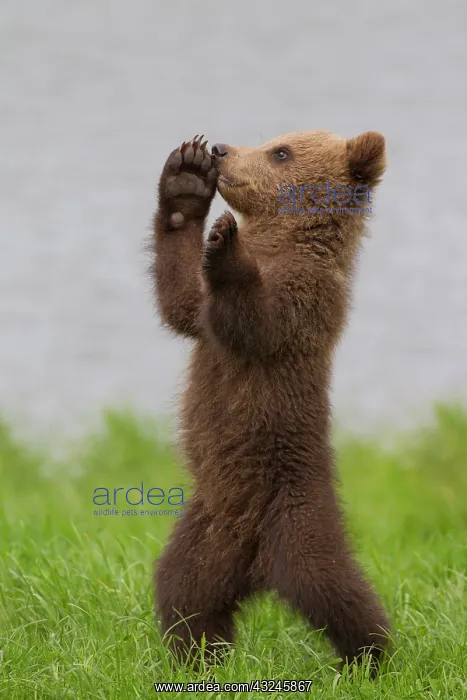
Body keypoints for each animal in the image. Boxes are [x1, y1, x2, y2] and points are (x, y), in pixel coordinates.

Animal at [150, 130, 390, 674]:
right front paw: (186, 181)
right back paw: (199, 657)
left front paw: (226, 242)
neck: (285, 240)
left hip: (295, 514)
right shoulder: (204, 312)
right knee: (183, 592)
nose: (221, 150)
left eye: (281, 152)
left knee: (334, 588)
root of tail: (255, 569)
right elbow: (182, 300)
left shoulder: (308, 297)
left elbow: (259, 322)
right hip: (207, 532)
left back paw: (374, 657)